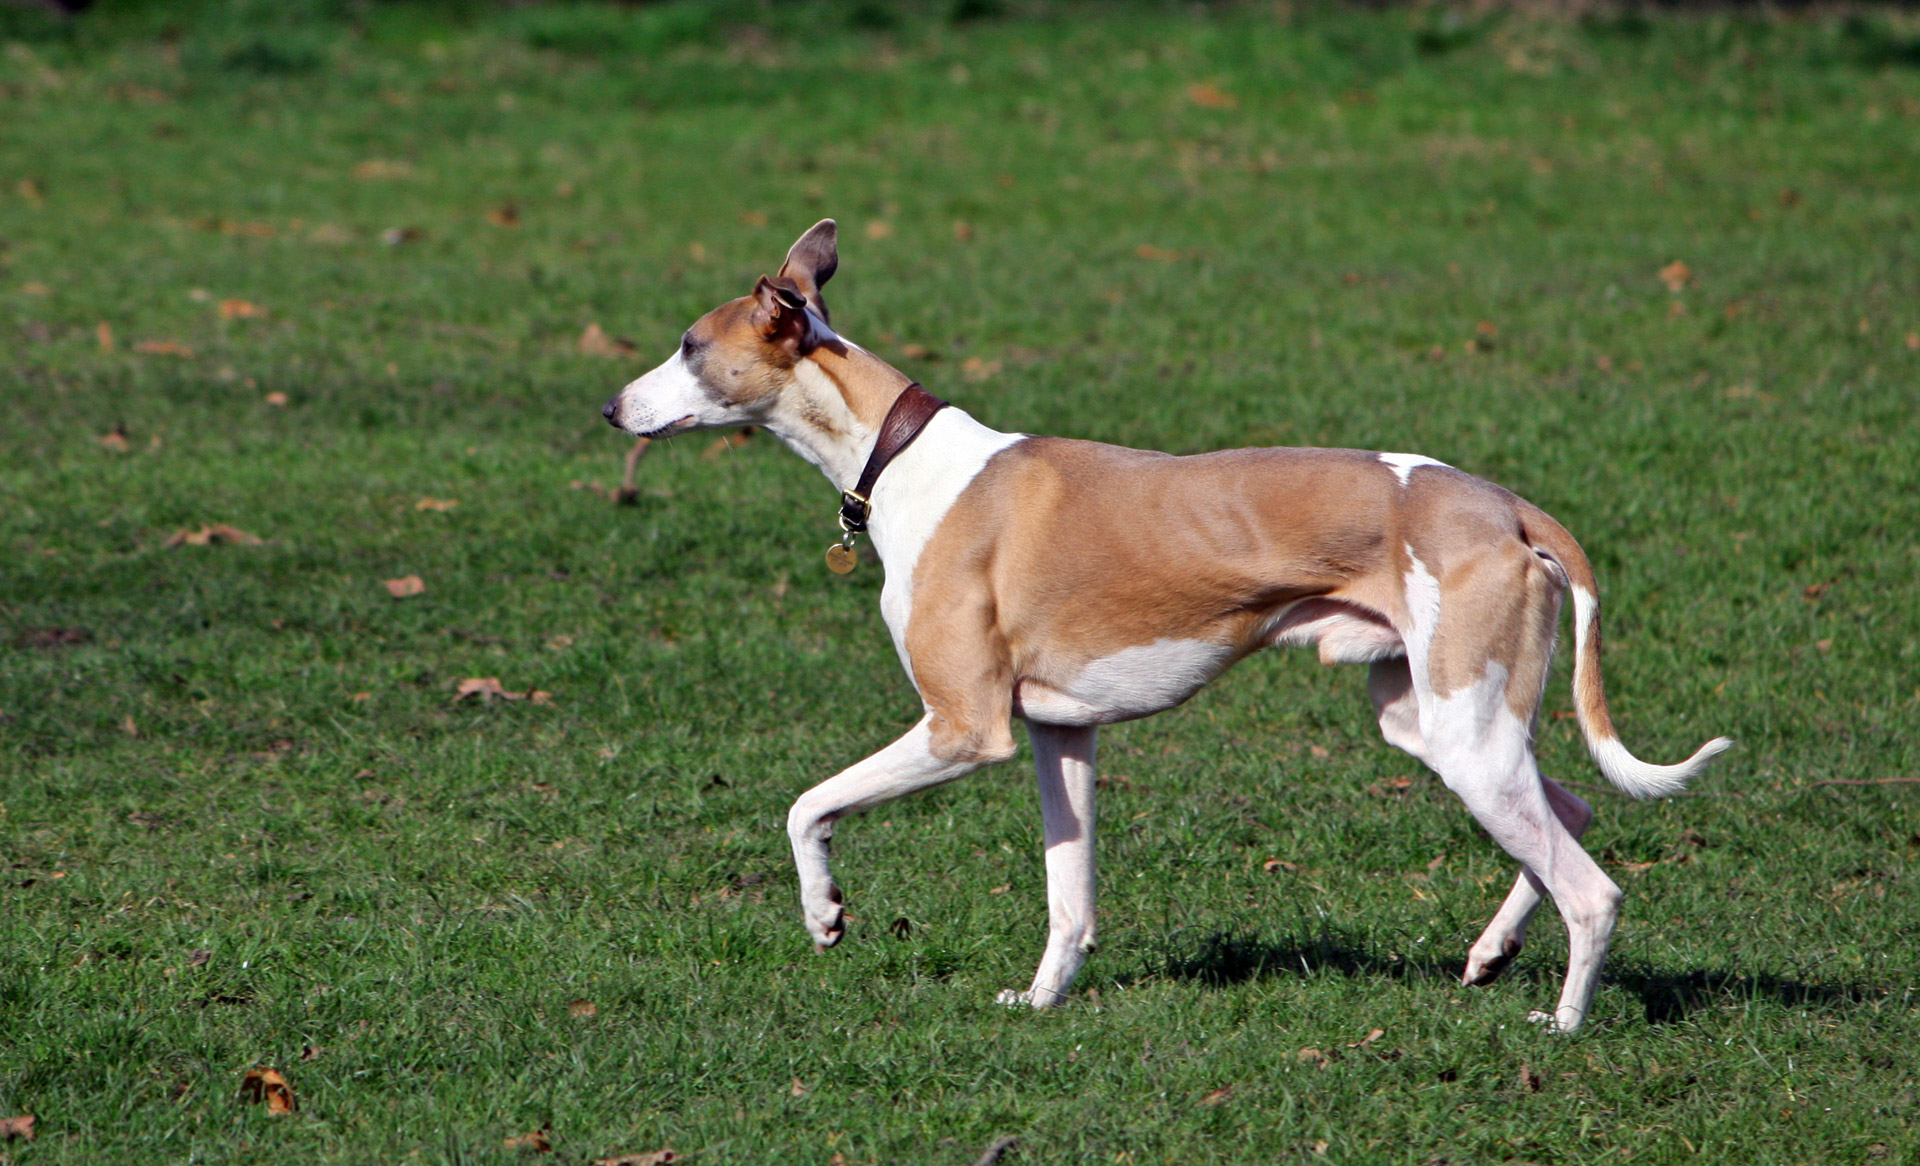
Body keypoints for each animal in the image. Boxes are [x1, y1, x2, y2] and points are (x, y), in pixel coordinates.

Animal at [606, 218, 1735, 1029]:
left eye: (688, 346)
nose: (611, 408)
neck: (902, 454)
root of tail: (1505, 505)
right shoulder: (1058, 733)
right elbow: (1068, 896)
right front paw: (1041, 999)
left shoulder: (963, 727)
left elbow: (807, 805)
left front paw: (825, 913)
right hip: (1434, 722)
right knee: (1570, 813)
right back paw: (1493, 951)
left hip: (1467, 734)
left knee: (1592, 888)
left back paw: (1563, 1022)